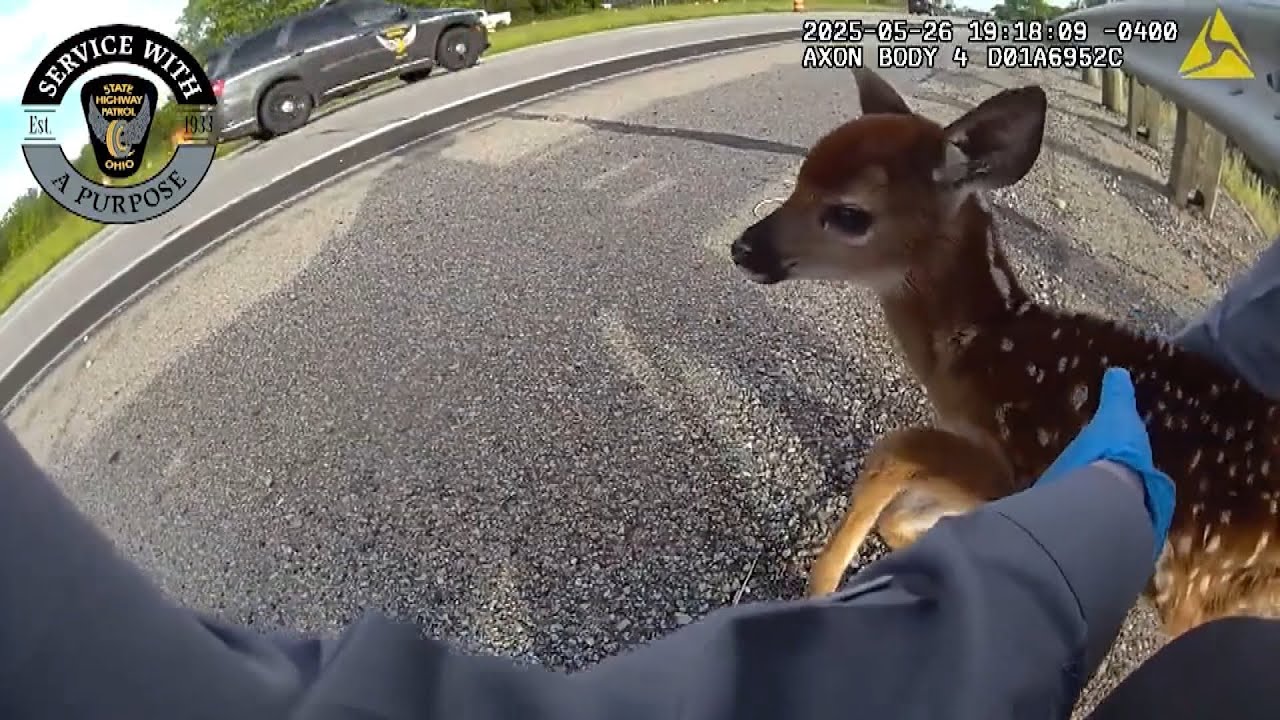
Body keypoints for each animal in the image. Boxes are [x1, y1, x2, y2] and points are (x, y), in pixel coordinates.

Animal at [729, 67, 1280, 639]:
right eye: (799, 177)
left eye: (849, 213)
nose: (743, 248)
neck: (990, 345)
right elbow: (907, 501)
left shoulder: (1027, 458)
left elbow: (897, 448)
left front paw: (824, 583)